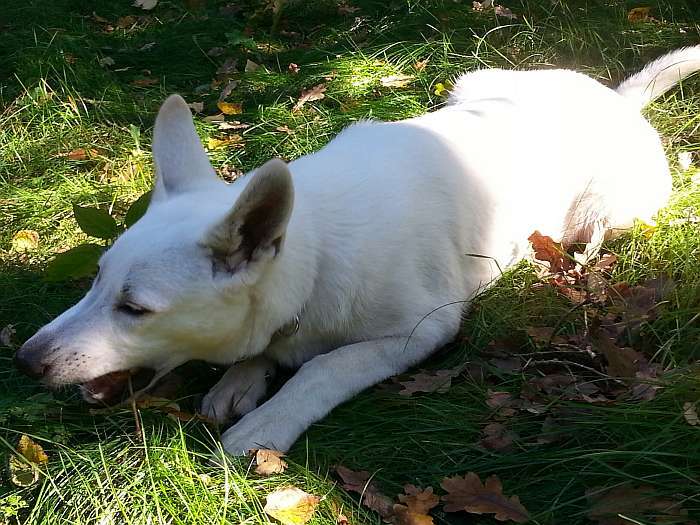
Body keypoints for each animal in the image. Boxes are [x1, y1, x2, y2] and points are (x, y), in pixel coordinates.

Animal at [16, 47, 700, 452]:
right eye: (96, 281)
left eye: (135, 309)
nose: (24, 361)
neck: (316, 257)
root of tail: (617, 99)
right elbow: (270, 351)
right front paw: (244, 377)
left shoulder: (419, 332)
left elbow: (324, 366)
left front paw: (269, 418)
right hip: (472, 84)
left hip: (609, 214)